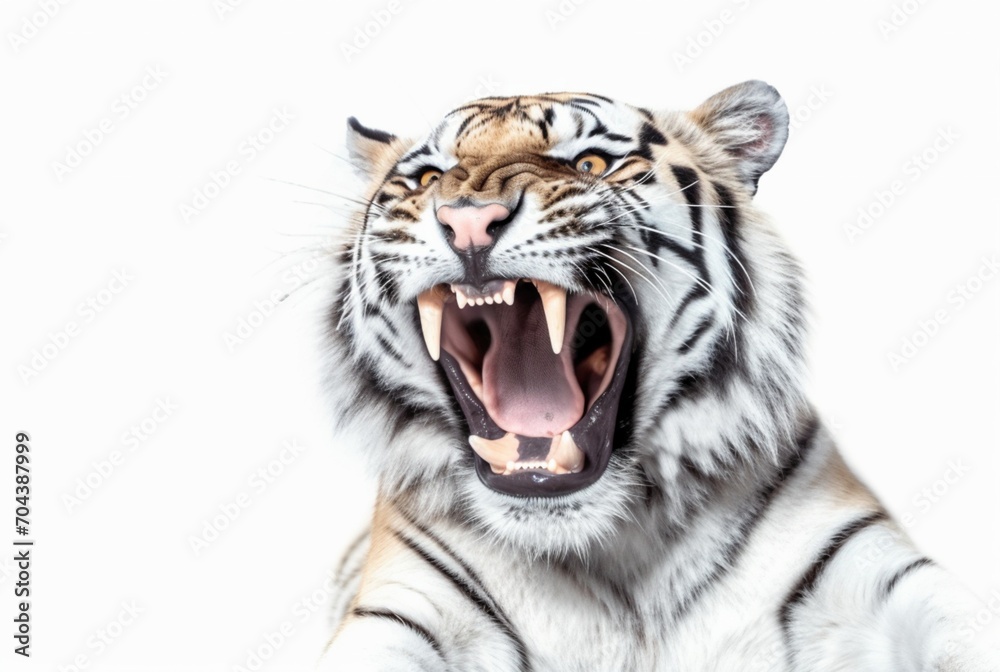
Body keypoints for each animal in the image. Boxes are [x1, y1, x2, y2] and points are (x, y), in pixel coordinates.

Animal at [315, 81, 999, 671]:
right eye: (429, 178)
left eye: (592, 163)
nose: (468, 220)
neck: (613, 538)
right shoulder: (404, 611)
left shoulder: (879, 573)